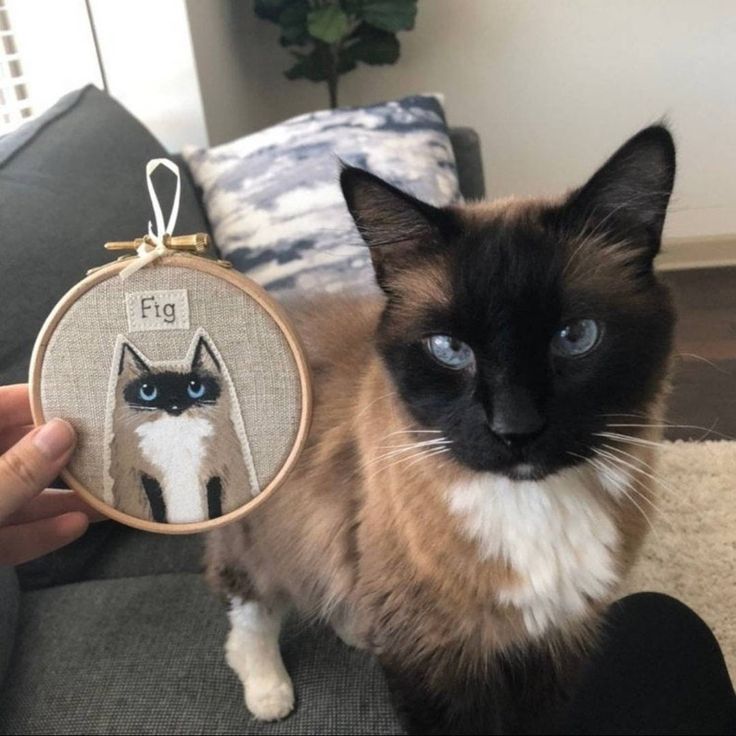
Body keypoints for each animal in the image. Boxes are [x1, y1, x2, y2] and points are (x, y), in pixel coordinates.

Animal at [103, 328, 258, 524]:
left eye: (195, 387)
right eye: (148, 391)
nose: (174, 404)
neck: (176, 437)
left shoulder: (219, 473)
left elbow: (215, 506)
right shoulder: (143, 477)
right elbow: (157, 511)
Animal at [204, 126, 676, 732]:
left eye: (575, 337)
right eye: (450, 349)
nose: (514, 429)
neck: (530, 507)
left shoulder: (552, 643)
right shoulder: (432, 656)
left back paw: (353, 630)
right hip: (260, 536)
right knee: (250, 616)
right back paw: (269, 692)